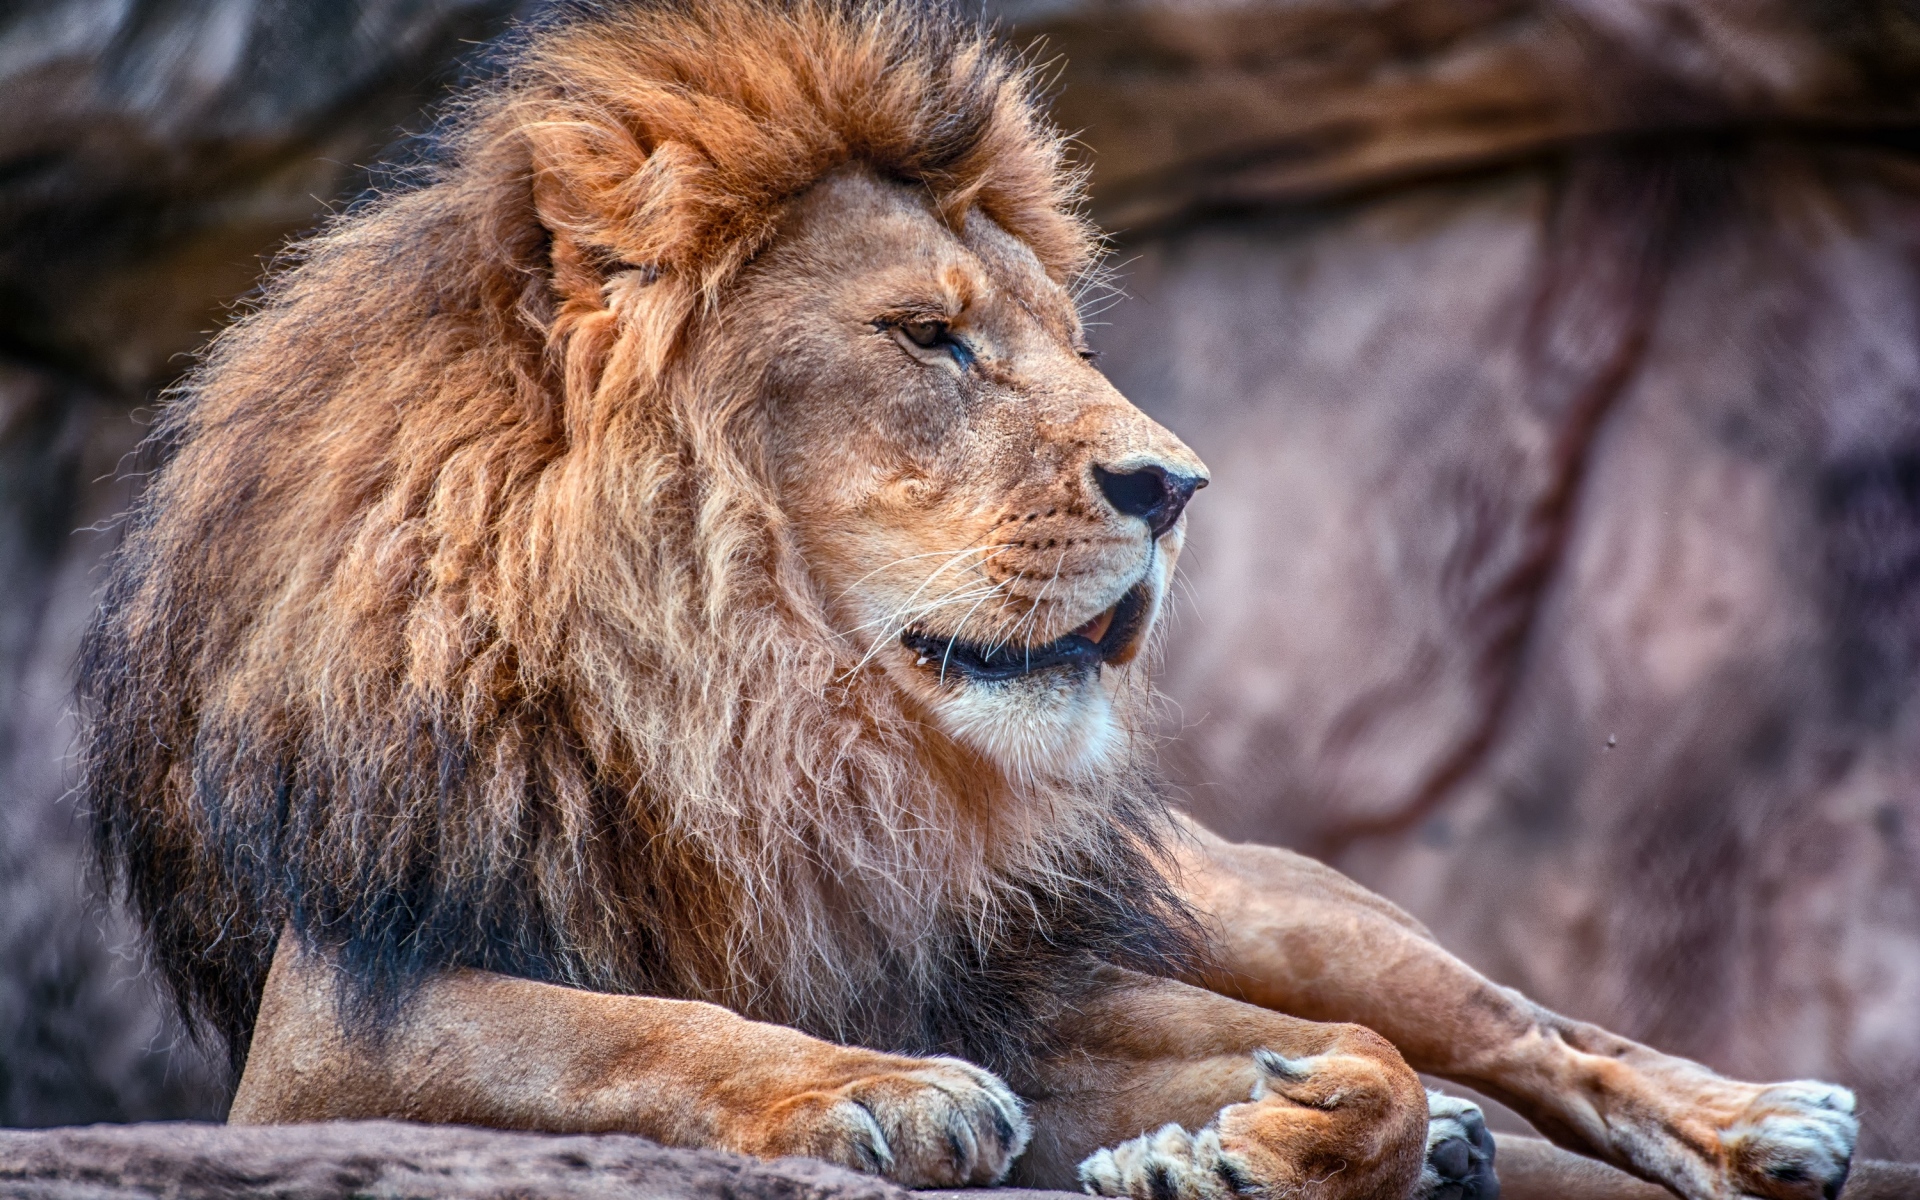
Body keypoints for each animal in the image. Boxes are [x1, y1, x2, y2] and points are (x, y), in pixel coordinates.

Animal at [80, 3, 1860, 1199]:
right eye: (929, 338)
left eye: (1063, 339)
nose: (1177, 488)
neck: (758, 722)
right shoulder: (334, 1023)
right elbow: (626, 1031)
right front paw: (878, 1094)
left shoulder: (1015, 972)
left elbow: (1379, 1063)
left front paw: (1264, 1142)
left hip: (1264, 904)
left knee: (1501, 1023)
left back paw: (1765, 1122)